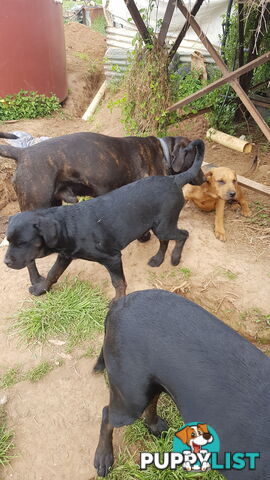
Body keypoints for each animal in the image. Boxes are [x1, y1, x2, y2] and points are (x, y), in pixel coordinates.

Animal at [0, 131, 205, 290]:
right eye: (194, 159)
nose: (204, 179)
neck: (163, 152)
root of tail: (22, 152)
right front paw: (144, 237)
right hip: (36, 205)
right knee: (29, 258)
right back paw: (36, 280)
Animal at [94, 288, 270, 480]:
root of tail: (120, 303)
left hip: (150, 384)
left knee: (151, 403)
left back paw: (155, 426)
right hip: (131, 398)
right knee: (107, 415)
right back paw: (104, 457)